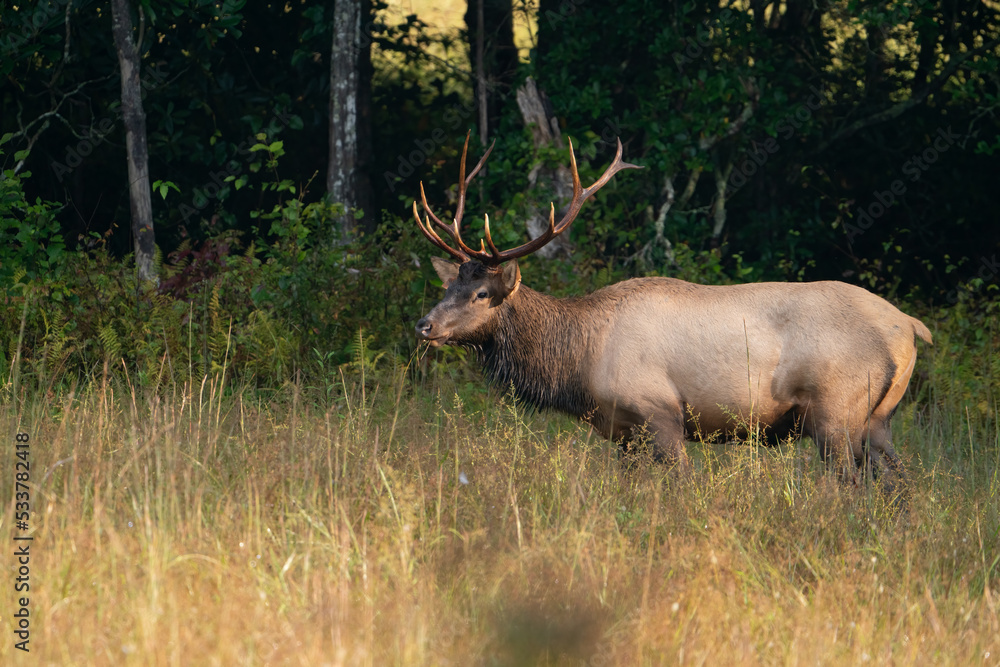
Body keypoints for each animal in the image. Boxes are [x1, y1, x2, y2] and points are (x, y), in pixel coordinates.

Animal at [410, 133, 932, 486]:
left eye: (482, 293)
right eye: (451, 283)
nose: (425, 325)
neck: (578, 364)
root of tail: (909, 327)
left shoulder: (659, 413)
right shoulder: (623, 432)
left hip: (836, 411)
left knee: (852, 486)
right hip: (878, 419)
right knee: (902, 484)